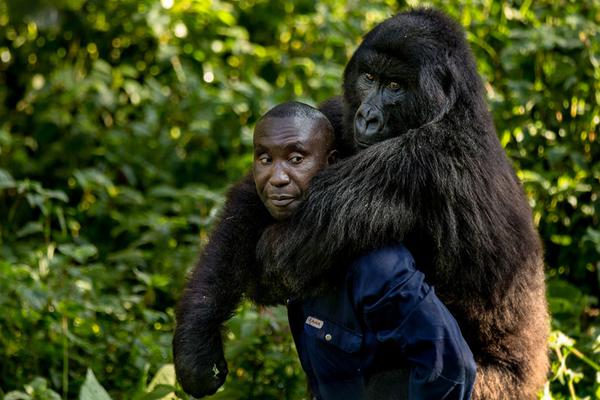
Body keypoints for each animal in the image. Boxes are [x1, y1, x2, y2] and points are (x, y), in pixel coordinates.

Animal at [172, 9, 548, 400]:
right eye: (369, 78)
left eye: (395, 86)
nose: (367, 117)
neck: (453, 106)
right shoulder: (339, 111)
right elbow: (247, 203)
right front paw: (197, 342)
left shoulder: (416, 163)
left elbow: (276, 256)